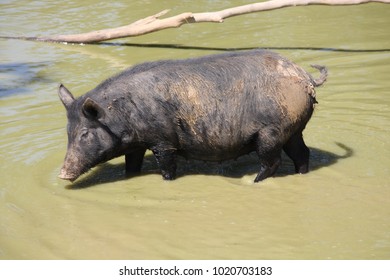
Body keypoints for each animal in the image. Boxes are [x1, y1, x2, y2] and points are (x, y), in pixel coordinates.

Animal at [57, 49, 326, 183]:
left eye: (85, 133)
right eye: (67, 132)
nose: (62, 174)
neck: (122, 114)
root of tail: (306, 77)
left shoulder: (163, 141)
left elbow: (167, 167)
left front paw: (167, 180)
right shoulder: (137, 145)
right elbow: (131, 166)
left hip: (270, 132)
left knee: (273, 162)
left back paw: (254, 181)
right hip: (293, 129)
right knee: (302, 153)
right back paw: (300, 174)